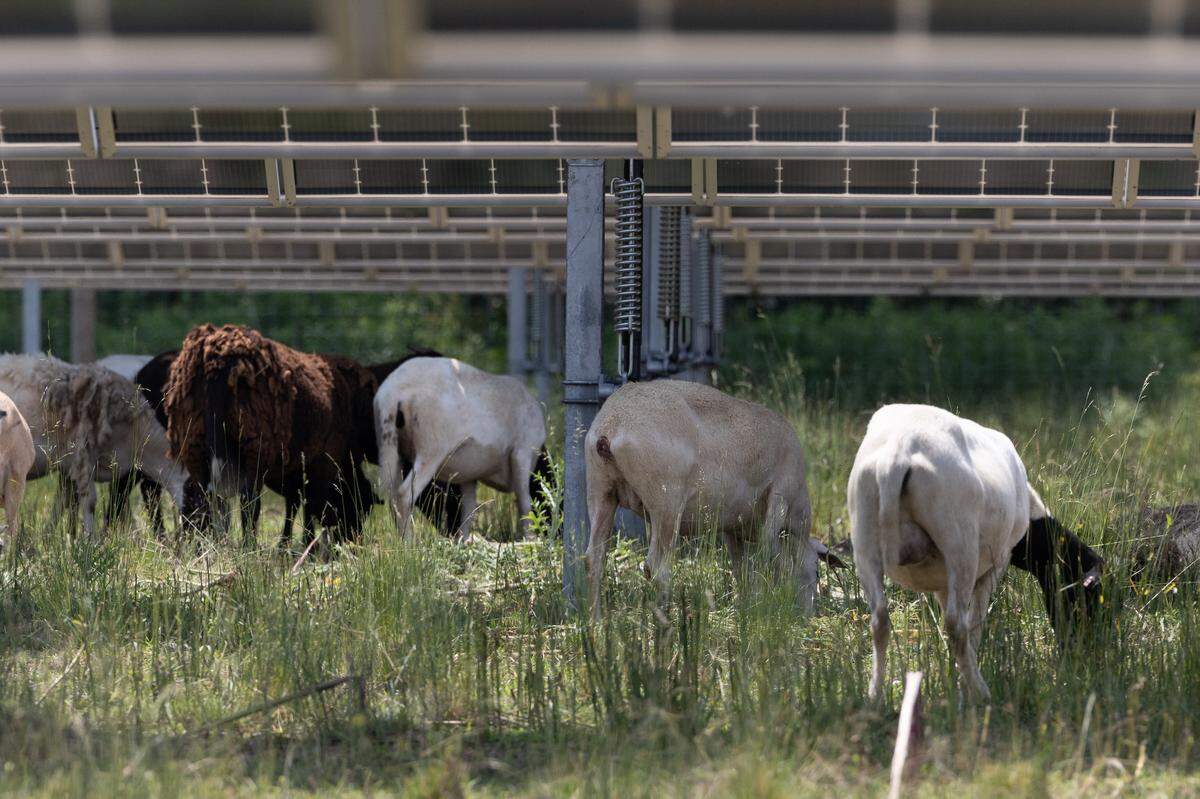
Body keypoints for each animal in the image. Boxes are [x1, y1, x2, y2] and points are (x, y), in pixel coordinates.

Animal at [0, 354, 198, 537]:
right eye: (198, 496)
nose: (200, 539)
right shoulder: (83, 460)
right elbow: (90, 503)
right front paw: (89, 541)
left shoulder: (68, 467)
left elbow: (63, 502)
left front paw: (50, 537)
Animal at [374, 356, 550, 542]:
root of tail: (393, 392)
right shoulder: (522, 453)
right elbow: (525, 503)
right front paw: (531, 538)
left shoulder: (469, 475)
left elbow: (468, 511)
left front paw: (464, 541)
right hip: (431, 449)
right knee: (404, 495)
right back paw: (408, 542)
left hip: (390, 449)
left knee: (392, 496)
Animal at [583, 379, 840, 620]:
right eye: (817, 571)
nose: (808, 615)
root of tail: (612, 425)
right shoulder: (781, 496)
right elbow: (775, 558)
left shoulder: (732, 525)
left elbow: (741, 570)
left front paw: (746, 609)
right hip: (666, 501)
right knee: (656, 569)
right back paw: (664, 624)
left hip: (600, 491)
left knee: (594, 560)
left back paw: (596, 624)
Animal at [848, 403, 1101, 702]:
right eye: (1089, 595)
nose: (1084, 654)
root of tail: (897, 454)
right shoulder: (996, 564)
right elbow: (975, 624)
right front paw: (962, 682)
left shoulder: (941, 582)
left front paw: (953, 677)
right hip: (960, 544)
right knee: (957, 625)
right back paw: (982, 693)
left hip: (864, 540)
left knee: (880, 621)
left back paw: (874, 696)